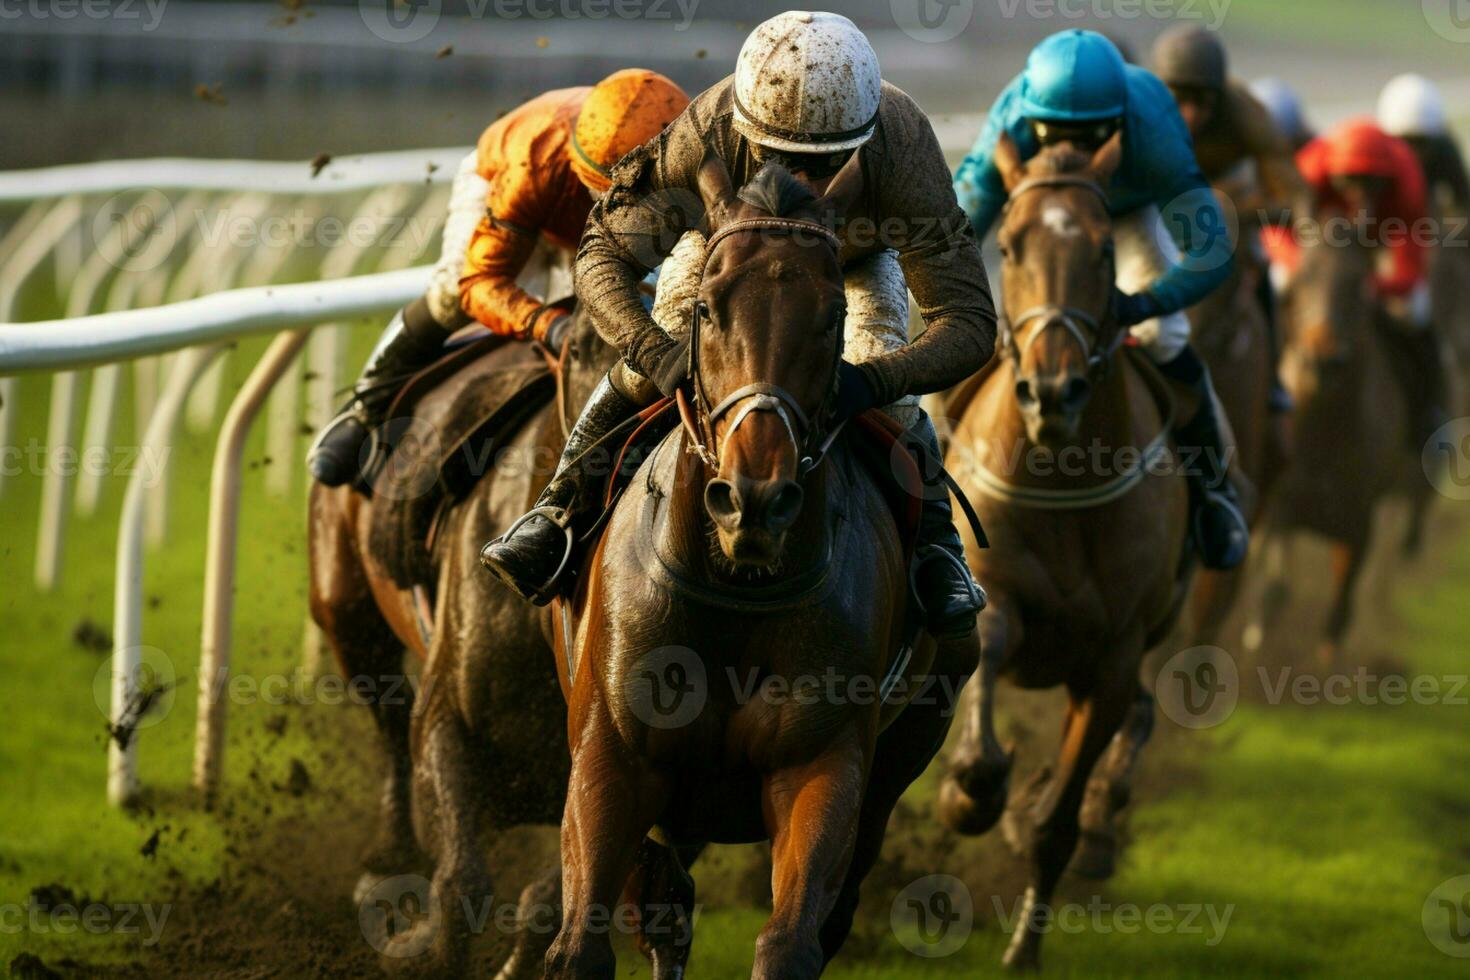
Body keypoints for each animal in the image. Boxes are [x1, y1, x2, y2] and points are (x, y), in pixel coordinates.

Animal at [307, 315, 696, 980]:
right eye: (584, 350)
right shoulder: (448, 721)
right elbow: (461, 881)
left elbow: (549, 898)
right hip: (347, 612)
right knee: (389, 719)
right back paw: (388, 853)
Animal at [543, 153, 976, 980]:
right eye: (708, 310)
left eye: (831, 315)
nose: (754, 500)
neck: (732, 592)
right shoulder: (610, 756)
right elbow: (583, 941)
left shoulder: (824, 765)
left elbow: (791, 940)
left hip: (910, 743)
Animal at [934, 138, 1199, 975]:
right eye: (1010, 246)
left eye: (1105, 249)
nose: (1052, 392)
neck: (1064, 471)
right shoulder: (992, 591)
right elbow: (985, 656)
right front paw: (971, 789)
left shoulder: (1112, 657)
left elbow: (1062, 815)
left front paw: (1025, 941)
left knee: (1139, 715)